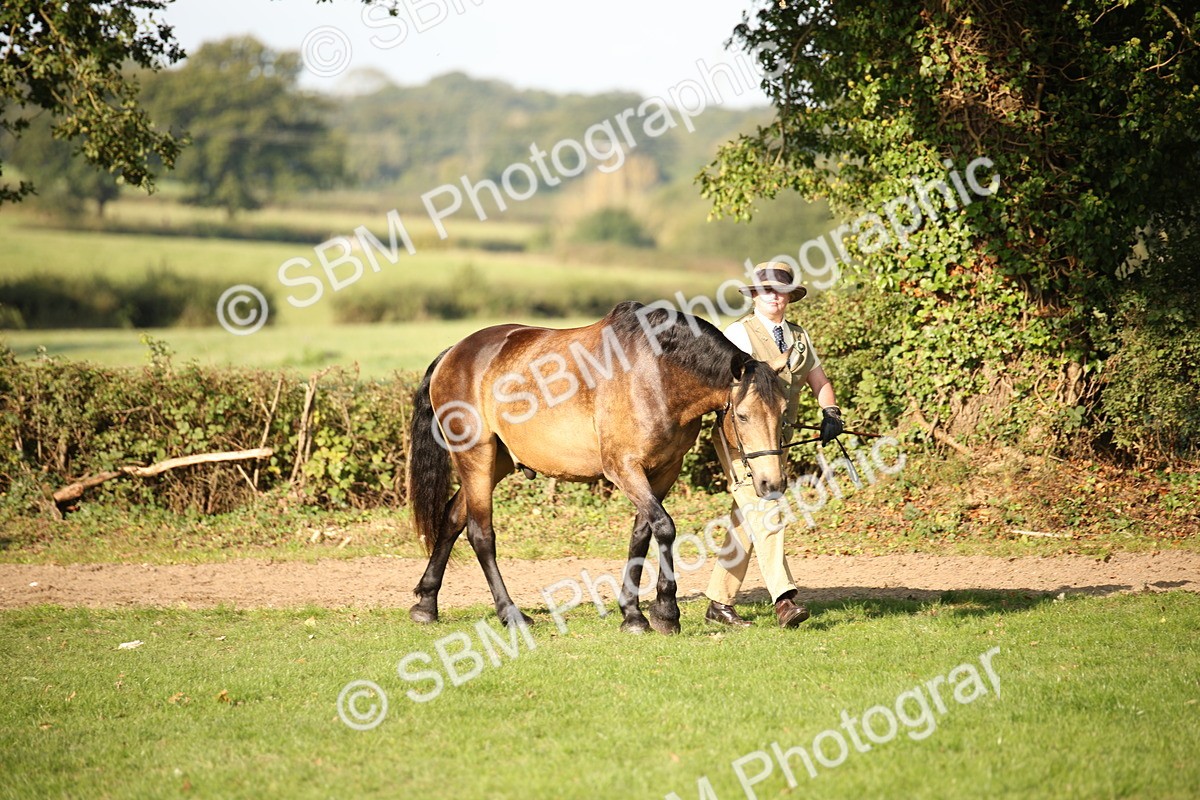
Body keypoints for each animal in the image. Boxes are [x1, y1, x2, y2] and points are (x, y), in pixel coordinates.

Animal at [405, 300, 790, 634]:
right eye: (743, 416)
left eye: (783, 413)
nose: (772, 484)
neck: (657, 375)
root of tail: (453, 353)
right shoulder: (623, 468)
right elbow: (664, 528)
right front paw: (666, 612)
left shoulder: (665, 470)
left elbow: (642, 534)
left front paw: (633, 614)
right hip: (476, 456)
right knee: (480, 534)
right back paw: (511, 614)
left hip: (496, 460)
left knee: (453, 517)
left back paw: (426, 604)